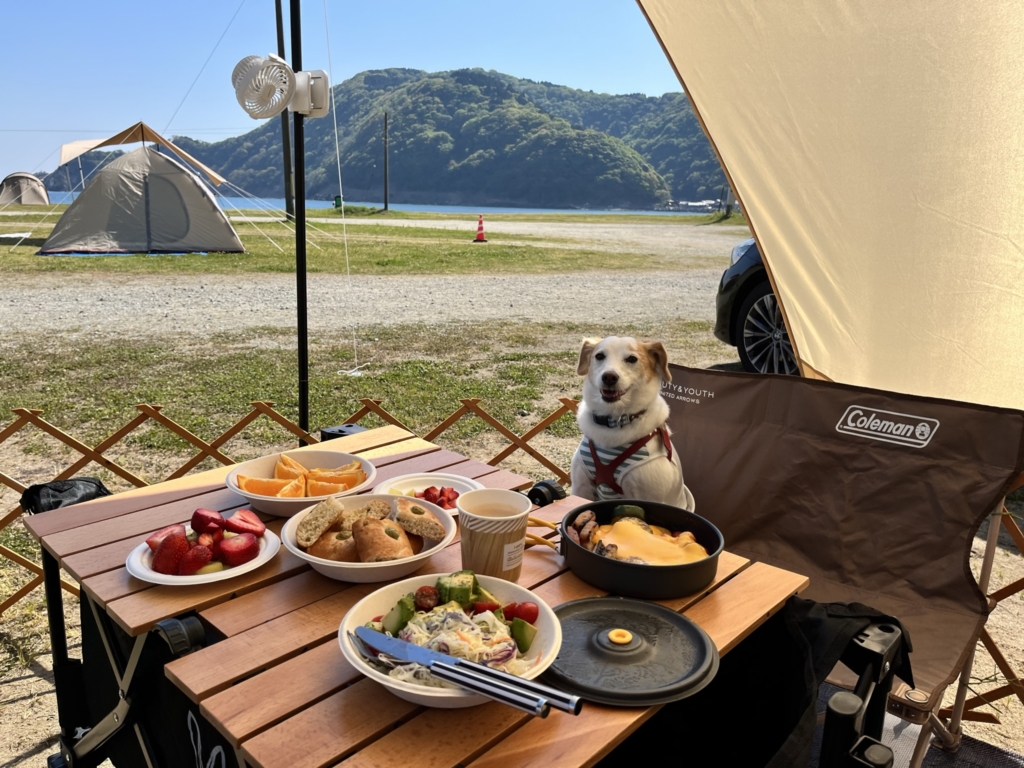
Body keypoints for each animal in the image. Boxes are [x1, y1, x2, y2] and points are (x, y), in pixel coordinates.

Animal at [569, 335, 696, 512]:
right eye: (599, 356)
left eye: (632, 359)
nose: (609, 377)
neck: (614, 421)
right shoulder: (580, 487)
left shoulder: (649, 496)